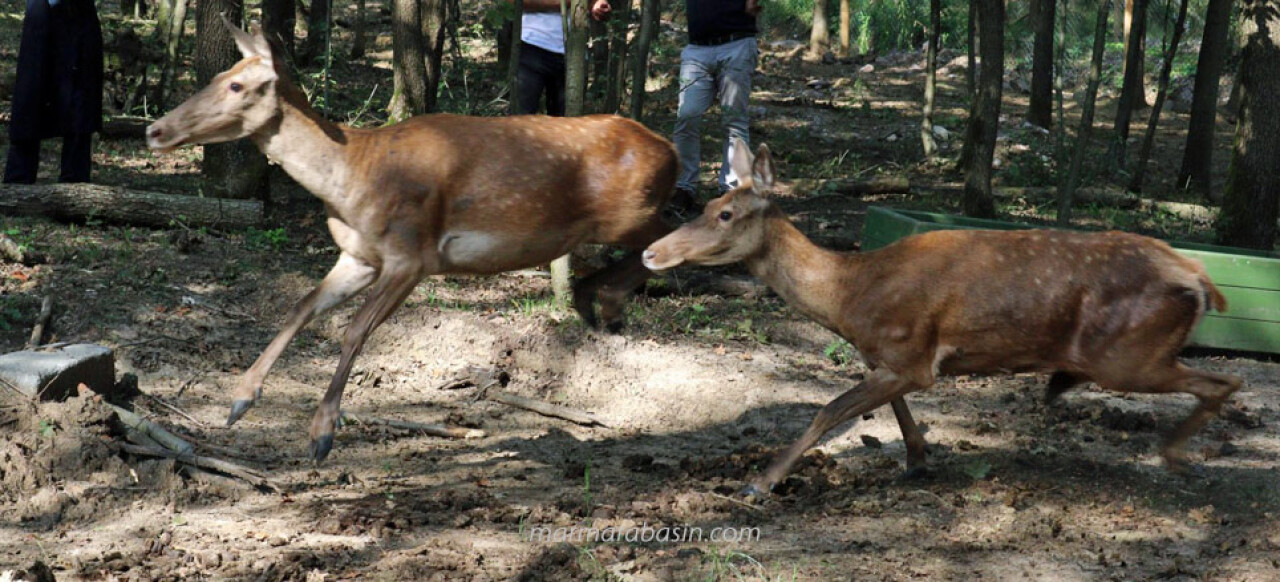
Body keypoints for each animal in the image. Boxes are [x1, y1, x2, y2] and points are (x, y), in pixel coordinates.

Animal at [149, 20, 680, 463]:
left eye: (236, 85)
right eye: (222, 73)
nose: (155, 129)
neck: (352, 178)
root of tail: (670, 149)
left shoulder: (413, 255)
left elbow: (354, 330)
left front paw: (321, 435)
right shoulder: (359, 256)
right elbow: (300, 307)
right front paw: (240, 399)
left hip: (631, 212)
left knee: (671, 239)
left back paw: (604, 299)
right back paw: (595, 300)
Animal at [645, 138, 1244, 496]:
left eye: (725, 214)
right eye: (704, 207)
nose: (651, 253)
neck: (848, 296)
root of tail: (1197, 275)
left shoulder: (910, 353)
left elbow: (829, 411)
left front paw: (761, 481)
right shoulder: (897, 356)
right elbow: (890, 408)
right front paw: (918, 459)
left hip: (1126, 354)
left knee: (1225, 380)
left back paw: (1173, 457)